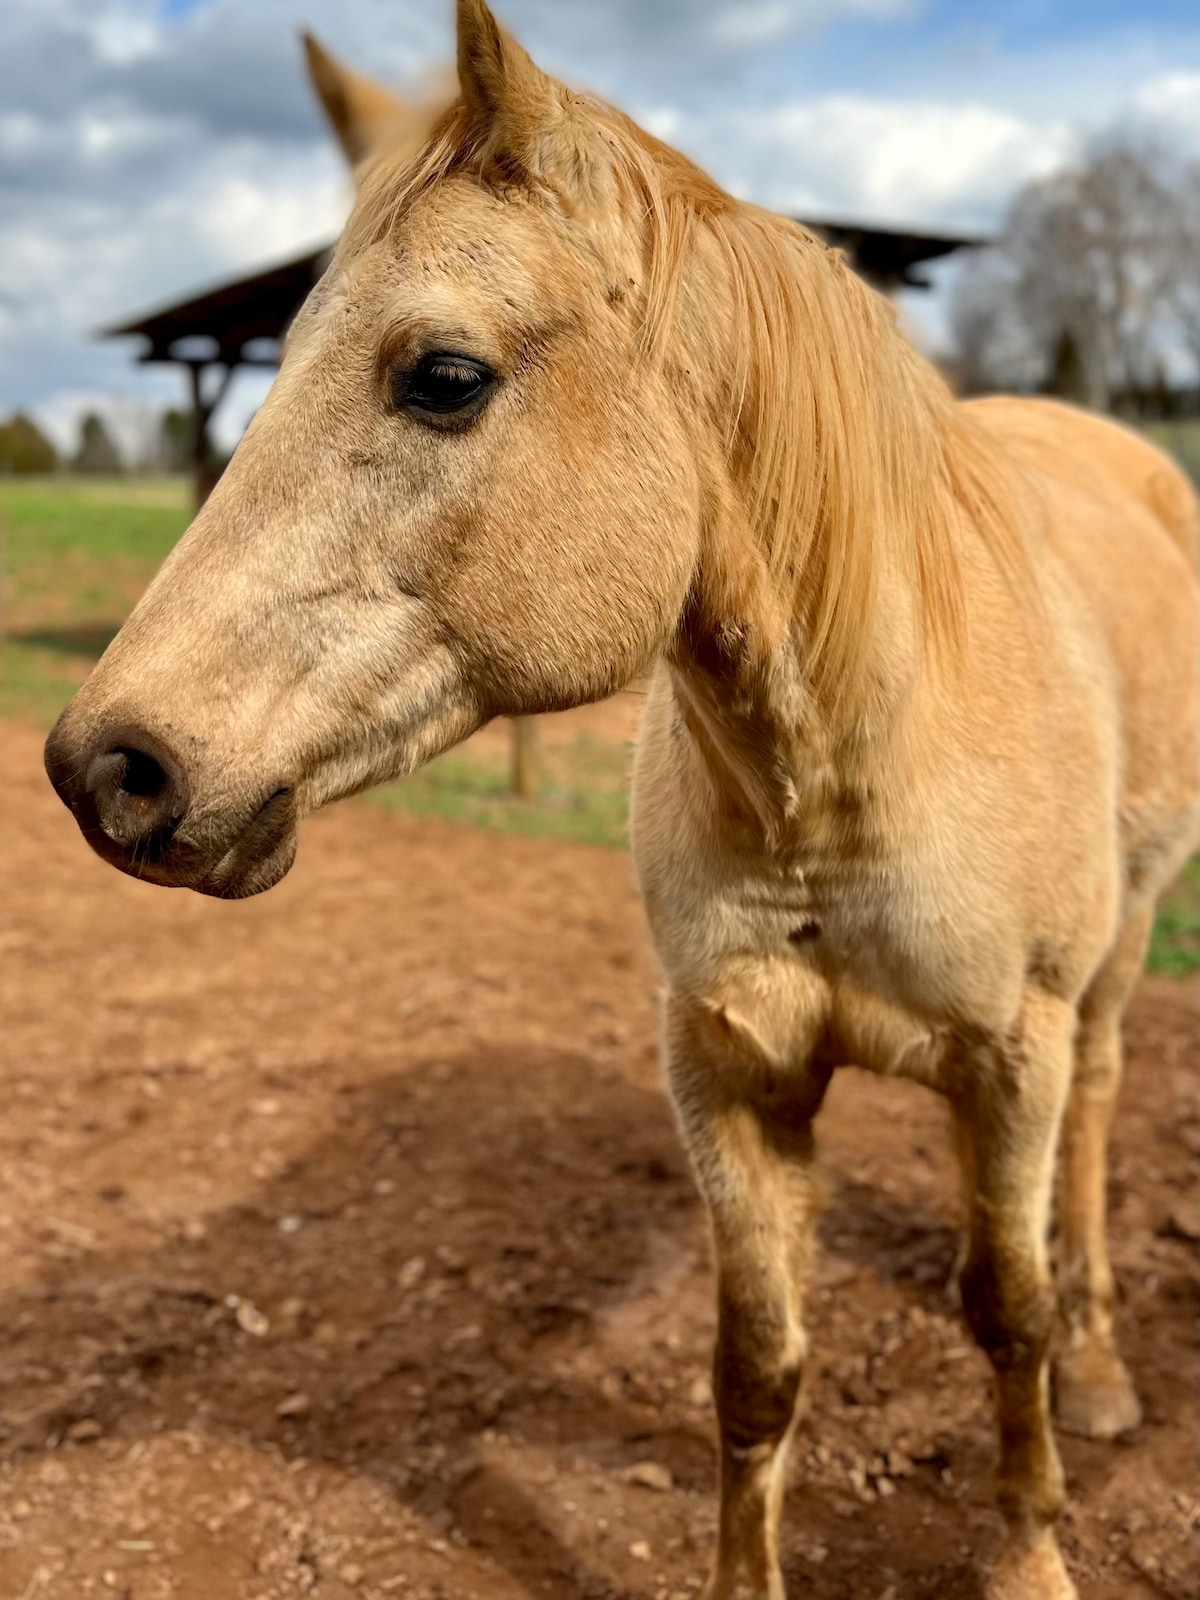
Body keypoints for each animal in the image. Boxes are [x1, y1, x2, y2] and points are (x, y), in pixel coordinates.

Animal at [42, 6, 1196, 1593]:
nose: (107, 766)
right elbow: (757, 1368)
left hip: (1115, 959)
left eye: (442, 374)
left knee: (1093, 1121)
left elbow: (1002, 1312)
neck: (841, 787)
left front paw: (1029, 1550)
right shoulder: (725, 1071)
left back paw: (1098, 1365)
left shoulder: (1010, 1053)